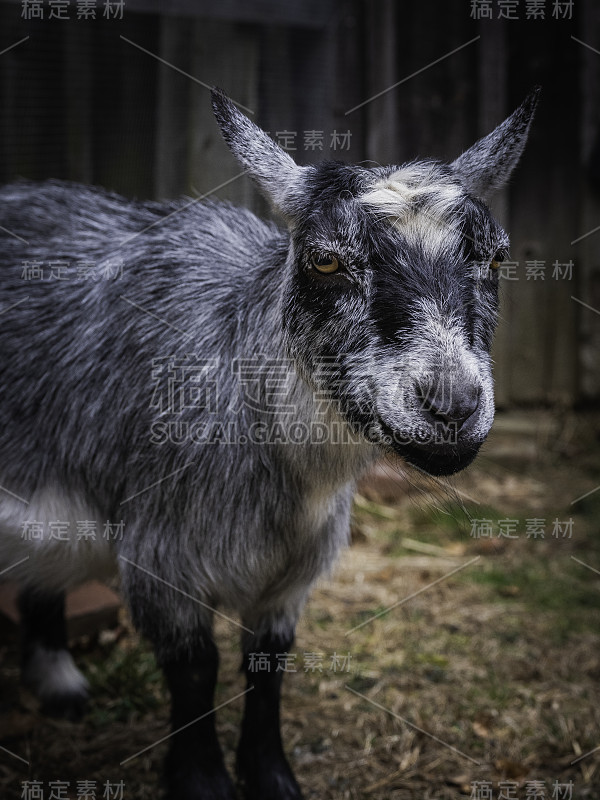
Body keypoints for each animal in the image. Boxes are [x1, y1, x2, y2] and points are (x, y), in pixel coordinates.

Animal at [0, 89, 536, 800]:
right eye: (324, 260)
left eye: (495, 257)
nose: (451, 407)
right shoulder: (161, 551)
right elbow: (195, 668)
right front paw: (203, 782)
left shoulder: (292, 573)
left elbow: (267, 667)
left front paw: (273, 777)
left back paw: (58, 683)